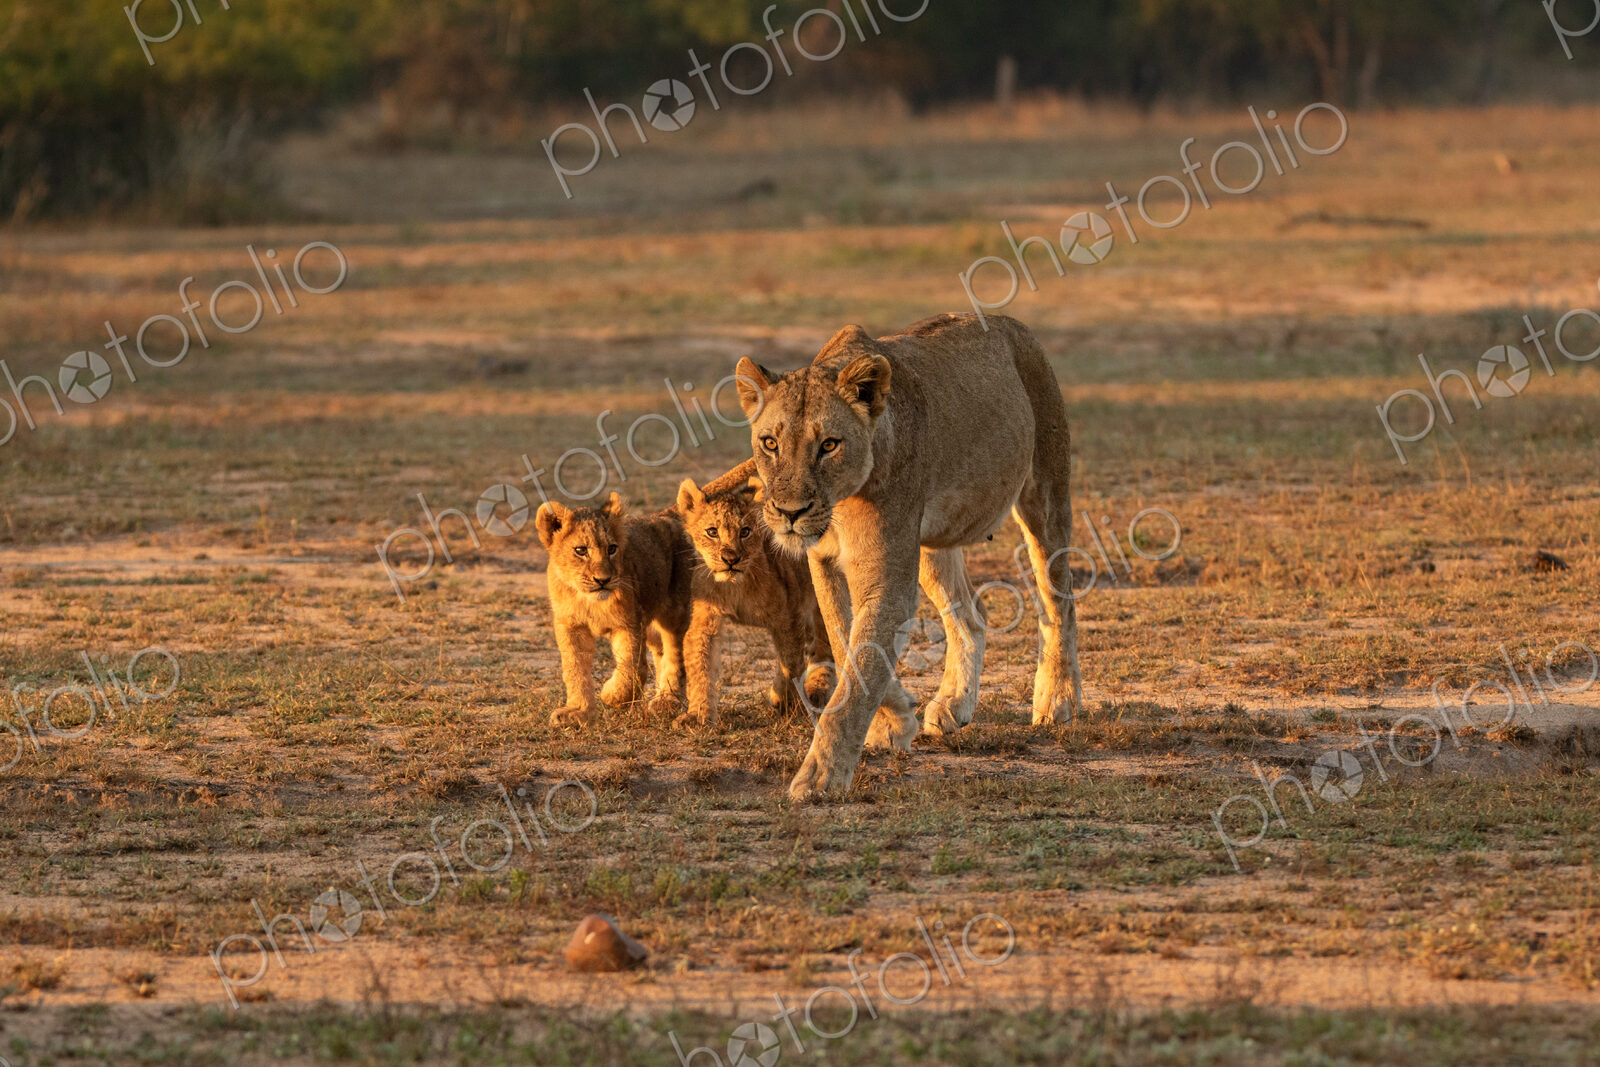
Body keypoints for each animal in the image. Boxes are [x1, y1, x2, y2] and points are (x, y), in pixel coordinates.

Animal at [534, 491, 694, 727]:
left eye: (611, 549)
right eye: (580, 550)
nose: (603, 580)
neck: (589, 601)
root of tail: (664, 514)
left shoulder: (628, 623)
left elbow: (630, 668)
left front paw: (611, 694)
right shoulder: (571, 626)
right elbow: (575, 669)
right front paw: (578, 711)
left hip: (675, 612)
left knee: (675, 655)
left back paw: (667, 701)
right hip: (653, 624)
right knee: (661, 653)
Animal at [734, 313, 1083, 800]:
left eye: (829, 445)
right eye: (769, 443)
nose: (789, 512)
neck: (841, 502)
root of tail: (1013, 324)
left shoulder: (888, 575)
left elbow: (860, 668)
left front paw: (820, 776)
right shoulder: (824, 561)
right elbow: (846, 641)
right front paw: (896, 718)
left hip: (1044, 493)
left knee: (1058, 600)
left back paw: (1057, 700)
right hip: (931, 541)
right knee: (971, 617)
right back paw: (955, 704)